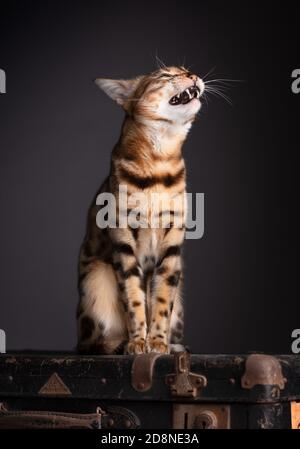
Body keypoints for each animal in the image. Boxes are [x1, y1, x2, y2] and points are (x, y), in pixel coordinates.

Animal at [76, 66, 205, 354]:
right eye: (166, 75)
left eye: (185, 70)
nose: (193, 75)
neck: (158, 166)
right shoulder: (124, 244)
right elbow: (133, 298)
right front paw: (137, 341)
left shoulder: (172, 247)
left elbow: (161, 301)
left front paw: (157, 342)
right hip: (96, 278)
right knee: (92, 343)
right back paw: (119, 343)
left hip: (179, 297)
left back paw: (175, 345)